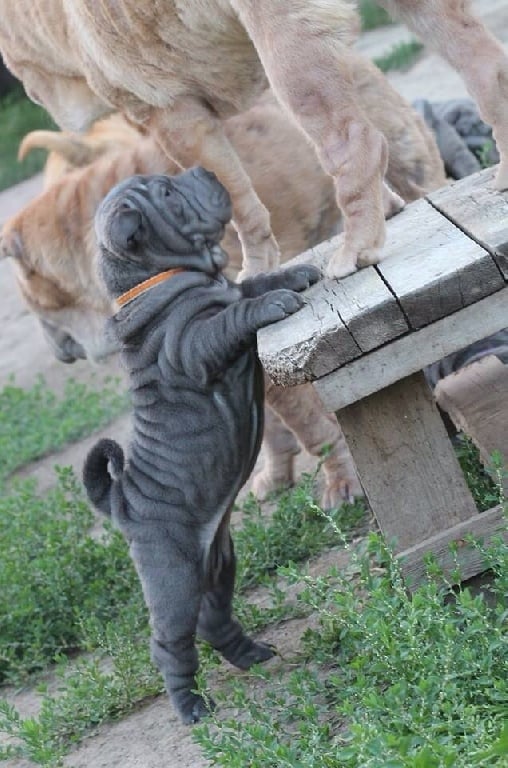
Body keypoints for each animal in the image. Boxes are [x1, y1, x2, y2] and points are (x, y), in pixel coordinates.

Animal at [1, 0, 500, 284]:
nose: (33, 96)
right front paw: (392, 207)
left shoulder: (174, 116)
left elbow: (238, 204)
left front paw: (257, 268)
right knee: (488, 69)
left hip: (286, 48)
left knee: (355, 141)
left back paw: (355, 249)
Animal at [83, 168, 322, 728]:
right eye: (168, 194)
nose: (202, 171)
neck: (160, 276)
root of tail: (120, 503)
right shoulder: (192, 346)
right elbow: (234, 316)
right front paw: (273, 304)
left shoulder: (231, 287)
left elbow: (251, 284)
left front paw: (297, 273)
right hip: (172, 579)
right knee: (170, 645)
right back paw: (191, 706)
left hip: (218, 564)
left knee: (213, 621)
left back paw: (252, 655)